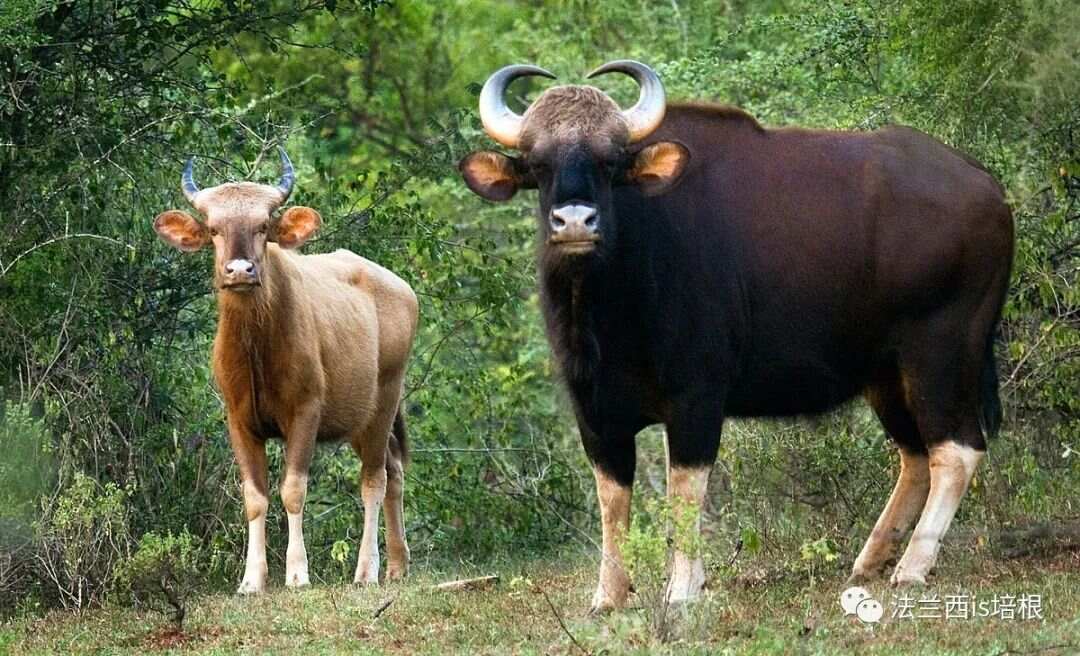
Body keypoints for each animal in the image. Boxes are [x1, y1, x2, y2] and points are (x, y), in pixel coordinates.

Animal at [460, 60, 1015, 609]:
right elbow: (612, 500)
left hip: (941, 351)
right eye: (537, 164)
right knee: (916, 454)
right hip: (886, 372)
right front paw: (610, 595)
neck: (611, 305)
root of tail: (989, 188)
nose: (575, 221)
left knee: (956, 449)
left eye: (610, 162)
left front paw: (683, 589)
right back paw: (871, 558)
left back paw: (913, 566)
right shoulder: (594, 408)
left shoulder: (697, 396)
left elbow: (685, 491)